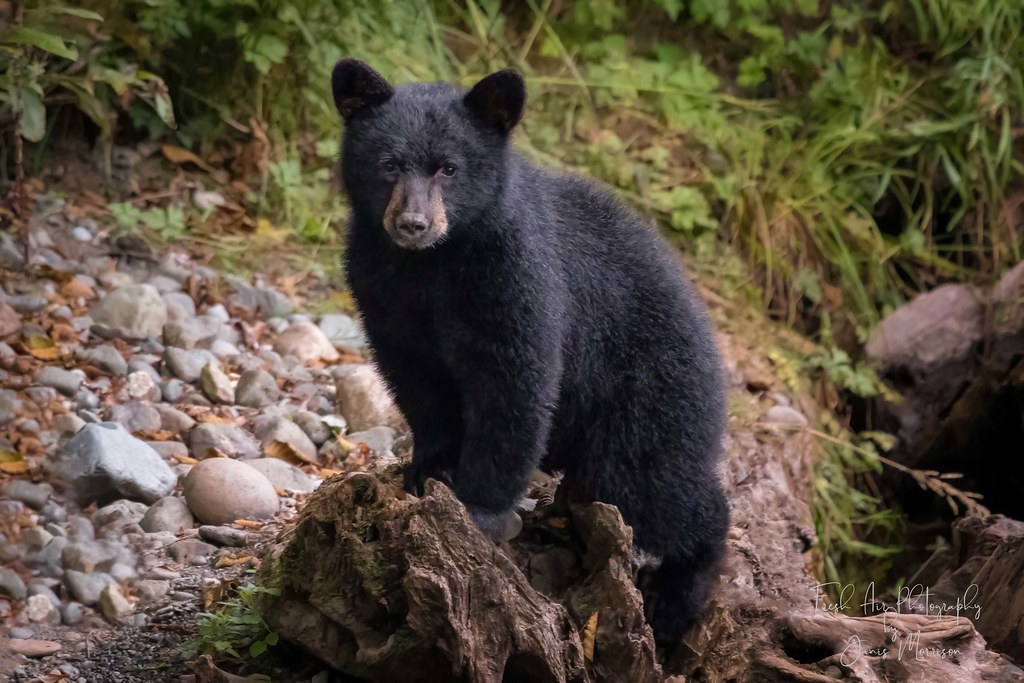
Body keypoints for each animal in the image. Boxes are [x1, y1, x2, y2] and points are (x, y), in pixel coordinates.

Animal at [331, 59, 729, 646]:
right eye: (388, 165)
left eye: (449, 169)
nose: (413, 224)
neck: (434, 265)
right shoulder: (382, 285)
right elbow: (418, 380)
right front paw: (428, 469)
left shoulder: (516, 275)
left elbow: (514, 385)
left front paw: (478, 505)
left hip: (649, 394)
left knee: (653, 483)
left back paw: (675, 596)